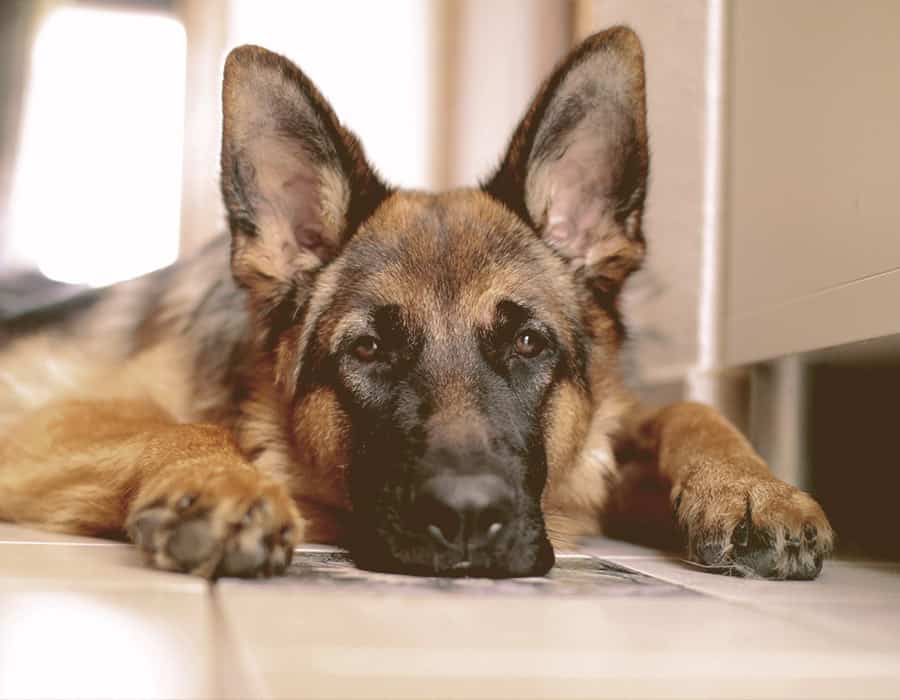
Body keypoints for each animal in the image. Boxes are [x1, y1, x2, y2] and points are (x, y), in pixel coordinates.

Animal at [0, 27, 828, 580]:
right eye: (368, 350)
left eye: (529, 345)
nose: (465, 519)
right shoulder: (37, 423)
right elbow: (179, 427)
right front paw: (221, 479)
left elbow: (685, 408)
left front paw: (752, 487)